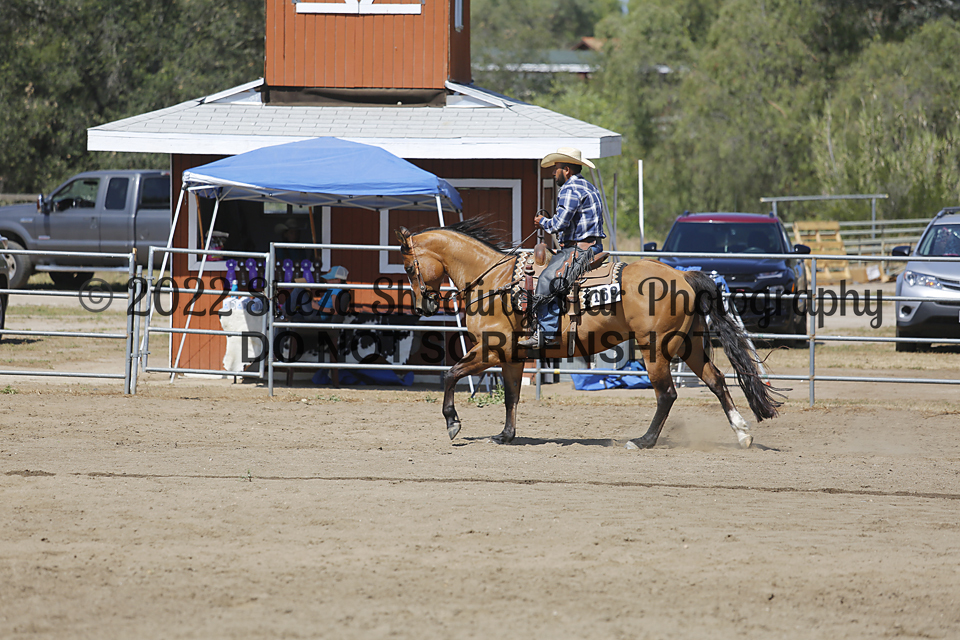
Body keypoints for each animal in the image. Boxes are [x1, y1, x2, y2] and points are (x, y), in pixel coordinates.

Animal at [396, 219, 780, 450]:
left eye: (410, 267)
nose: (424, 305)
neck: (494, 281)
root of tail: (683, 276)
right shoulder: (512, 356)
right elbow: (511, 397)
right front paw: (506, 435)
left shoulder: (491, 350)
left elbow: (451, 373)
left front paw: (453, 423)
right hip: (688, 345)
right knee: (716, 380)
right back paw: (742, 433)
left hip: (656, 349)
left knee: (667, 394)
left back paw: (643, 441)